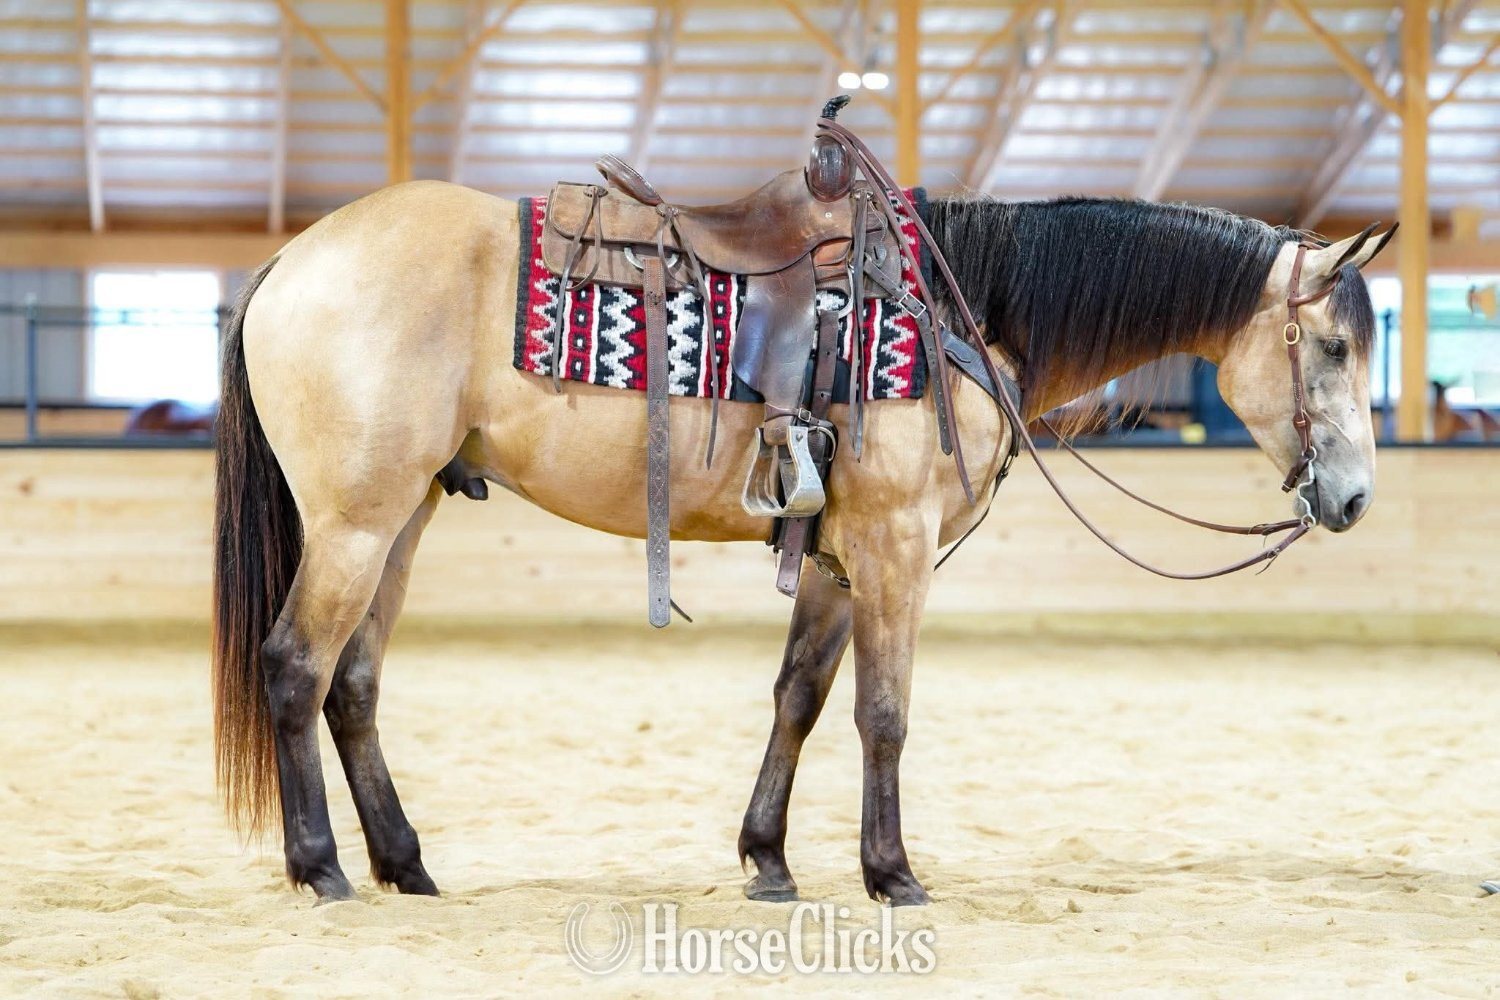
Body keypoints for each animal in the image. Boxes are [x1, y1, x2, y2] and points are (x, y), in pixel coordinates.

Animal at [212, 180, 1389, 906]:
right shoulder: (897, 549)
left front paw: (767, 859)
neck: (959, 310)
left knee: (354, 684)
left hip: (402, 517)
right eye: (1333, 345)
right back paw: (322, 868)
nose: (1353, 498)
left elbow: (800, 699)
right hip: (356, 524)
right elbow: (883, 716)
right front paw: (892, 872)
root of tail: (292, 259)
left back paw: (406, 865)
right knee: (296, 667)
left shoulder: (836, 559)